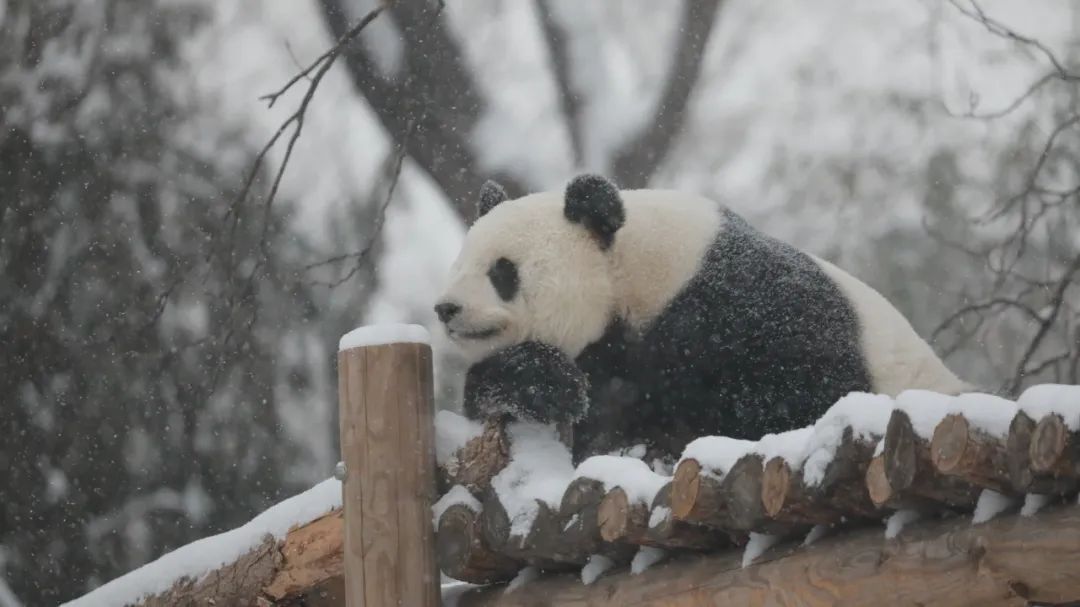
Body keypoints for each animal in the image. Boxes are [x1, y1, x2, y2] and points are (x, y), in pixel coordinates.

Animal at [432, 172, 972, 460]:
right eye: (458, 265)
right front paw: (547, 384)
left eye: (502, 271)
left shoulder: (746, 308)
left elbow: (798, 396)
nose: (446, 308)